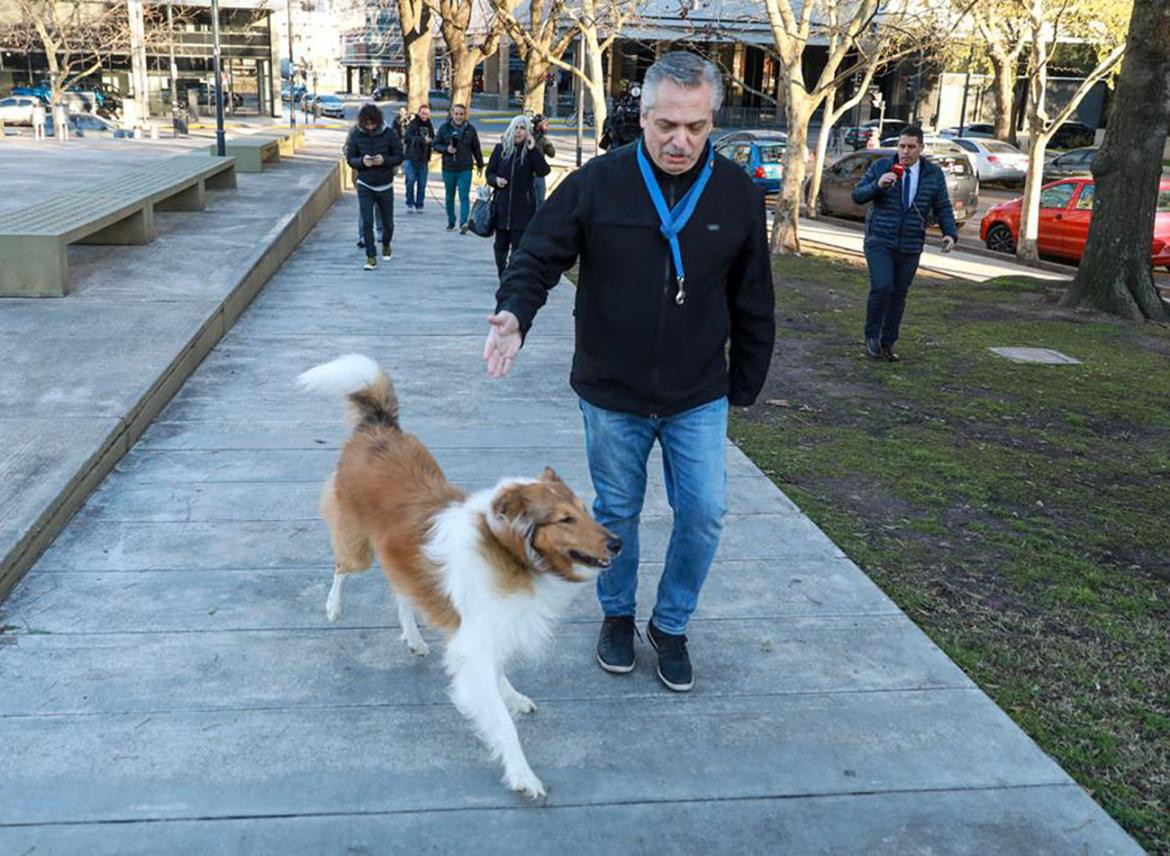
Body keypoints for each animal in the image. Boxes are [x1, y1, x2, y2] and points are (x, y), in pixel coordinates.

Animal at [297, 353, 622, 795]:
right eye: (565, 519)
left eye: (586, 511)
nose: (618, 543)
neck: (509, 551)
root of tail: (379, 426)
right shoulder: (475, 642)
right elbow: (501, 722)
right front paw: (522, 774)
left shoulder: (489, 629)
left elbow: (499, 677)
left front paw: (512, 696)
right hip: (357, 548)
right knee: (341, 569)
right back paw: (334, 607)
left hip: (400, 557)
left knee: (402, 593)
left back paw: (415, 639)